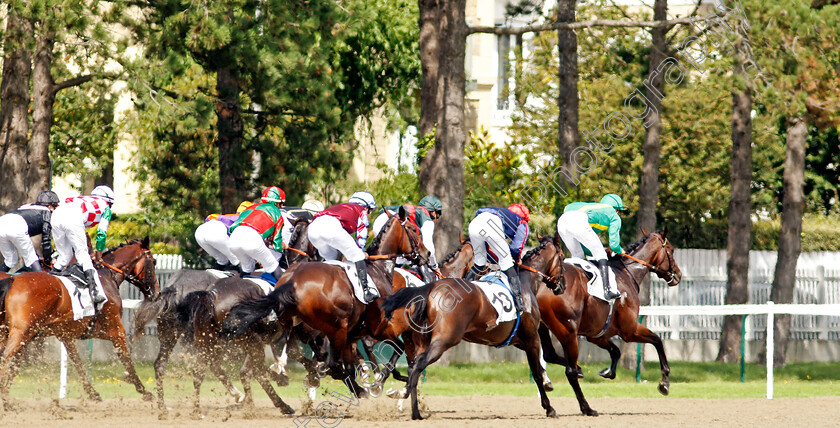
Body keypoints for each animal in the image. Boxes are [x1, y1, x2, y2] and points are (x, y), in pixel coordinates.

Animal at [0, 239, 159, 406]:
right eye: (153, 262)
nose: (157, 292)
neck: (105, 277)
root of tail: (12, 280)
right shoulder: (116, 330)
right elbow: (127, 360)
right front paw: (144, 391)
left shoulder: (65, 335)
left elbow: (78, 364)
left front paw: (93, 393)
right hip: (20, 331)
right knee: (4, 357)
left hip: (11, 332)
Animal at [221, 207, 426, 398]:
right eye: (413, 229)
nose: (426, 253)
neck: (378, 269)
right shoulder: (377, 327)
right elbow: (394, 348)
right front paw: (378, 381)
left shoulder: (349, 335)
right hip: (335, 328)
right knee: (331, 363)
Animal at [380, 234, 564, 418]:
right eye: (562, 257)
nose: (562, 285)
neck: (525, 283)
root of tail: (431, 289)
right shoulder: (532, 338)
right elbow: (537, 372)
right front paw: (549, 407)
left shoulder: (517, 340)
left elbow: (543, 365)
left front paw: (551, 380)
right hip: (444, 340)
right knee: (418, 364)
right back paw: (400, 393)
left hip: (422, 341)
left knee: (413, 368)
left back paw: (415, 411)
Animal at [540, 232, 684, 416]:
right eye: (671, 250)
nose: (678, 274)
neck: (626, 274)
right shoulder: (630, 330)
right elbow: (657, 340)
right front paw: (664, 383)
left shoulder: (596, 333)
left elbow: (615, 351)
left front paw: (608, 371)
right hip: (568, 332)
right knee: (569, 371)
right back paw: (586, 407)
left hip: (543, 328)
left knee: (548, 355)